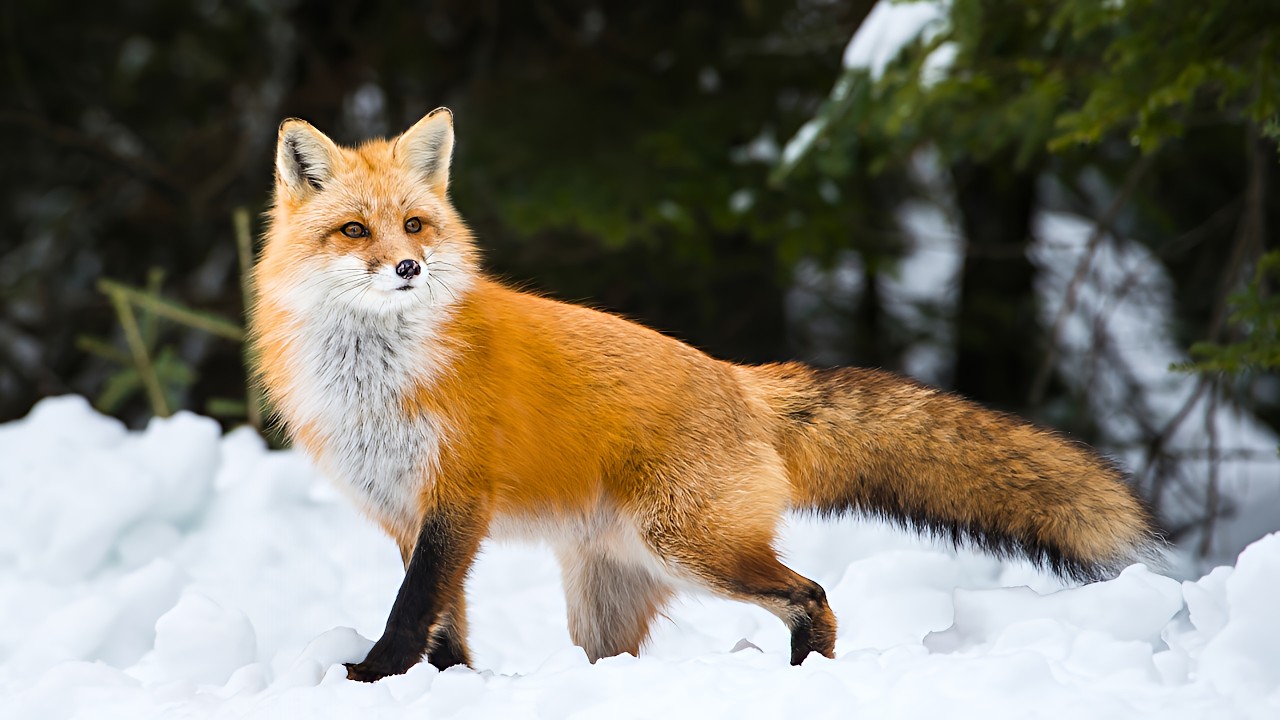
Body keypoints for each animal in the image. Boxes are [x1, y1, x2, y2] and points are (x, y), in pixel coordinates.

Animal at [250, 108, 1163, 681]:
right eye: (355, 230)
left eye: (414, 225)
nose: (408, 267)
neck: (377, 379)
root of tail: (740, 379)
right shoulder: (406, 513)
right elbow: (444, 627)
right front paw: (445, 687)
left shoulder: (456, 501)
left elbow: (413, 612)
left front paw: (372, 678)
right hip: (610, 597)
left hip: (692, 547)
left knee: (813, 596)